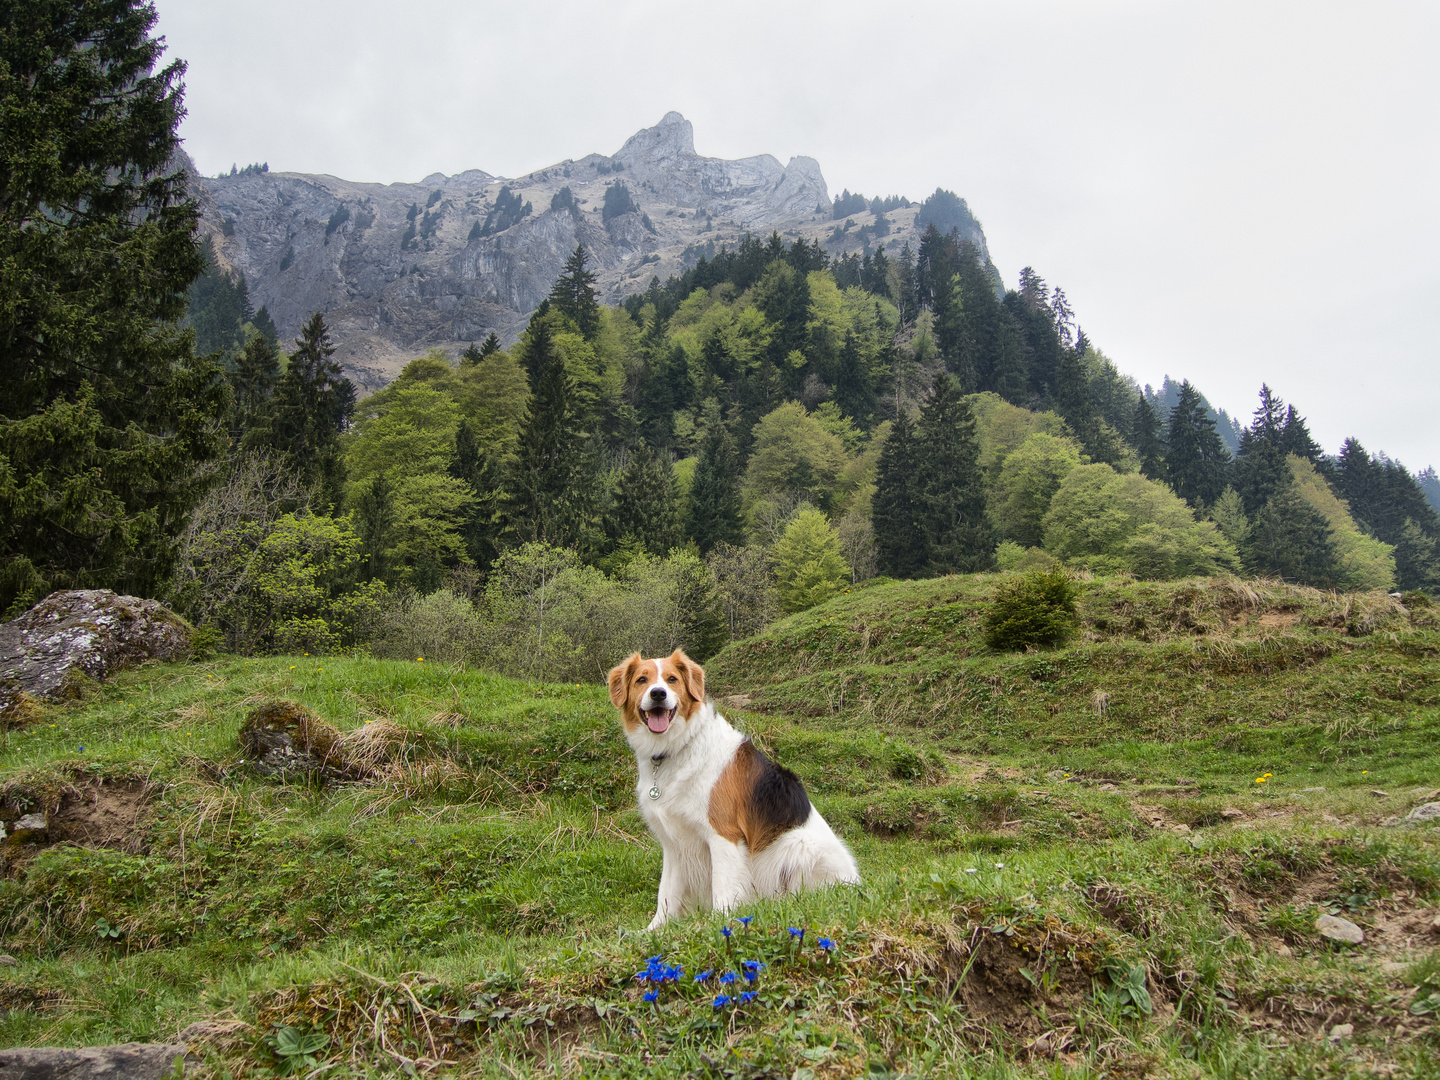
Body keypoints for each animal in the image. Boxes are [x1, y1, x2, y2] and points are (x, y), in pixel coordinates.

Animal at [604, 648, 852, 933]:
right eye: (642, 680)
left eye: (672, 679)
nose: (658, 694)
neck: (675, 748)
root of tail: (854, 879)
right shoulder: (674, 845)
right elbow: (666, 893)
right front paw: (653, 930)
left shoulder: (723, 836)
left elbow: (722, 888)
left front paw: (718, 925)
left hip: (798, 845)